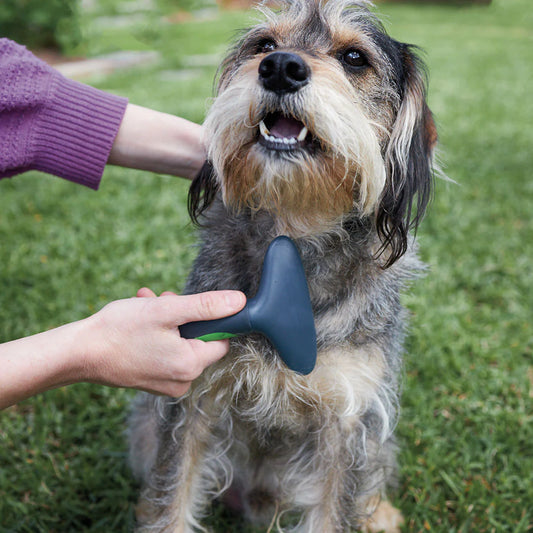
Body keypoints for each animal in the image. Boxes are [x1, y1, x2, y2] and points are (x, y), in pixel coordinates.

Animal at [130, 2, 436, 528]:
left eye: (354, 57)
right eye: (264, 45)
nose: (280, 68)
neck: (295, 232)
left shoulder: (348, 419)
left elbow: (337, 510)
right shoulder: (195, 398)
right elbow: (172, 498)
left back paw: (380, 513)